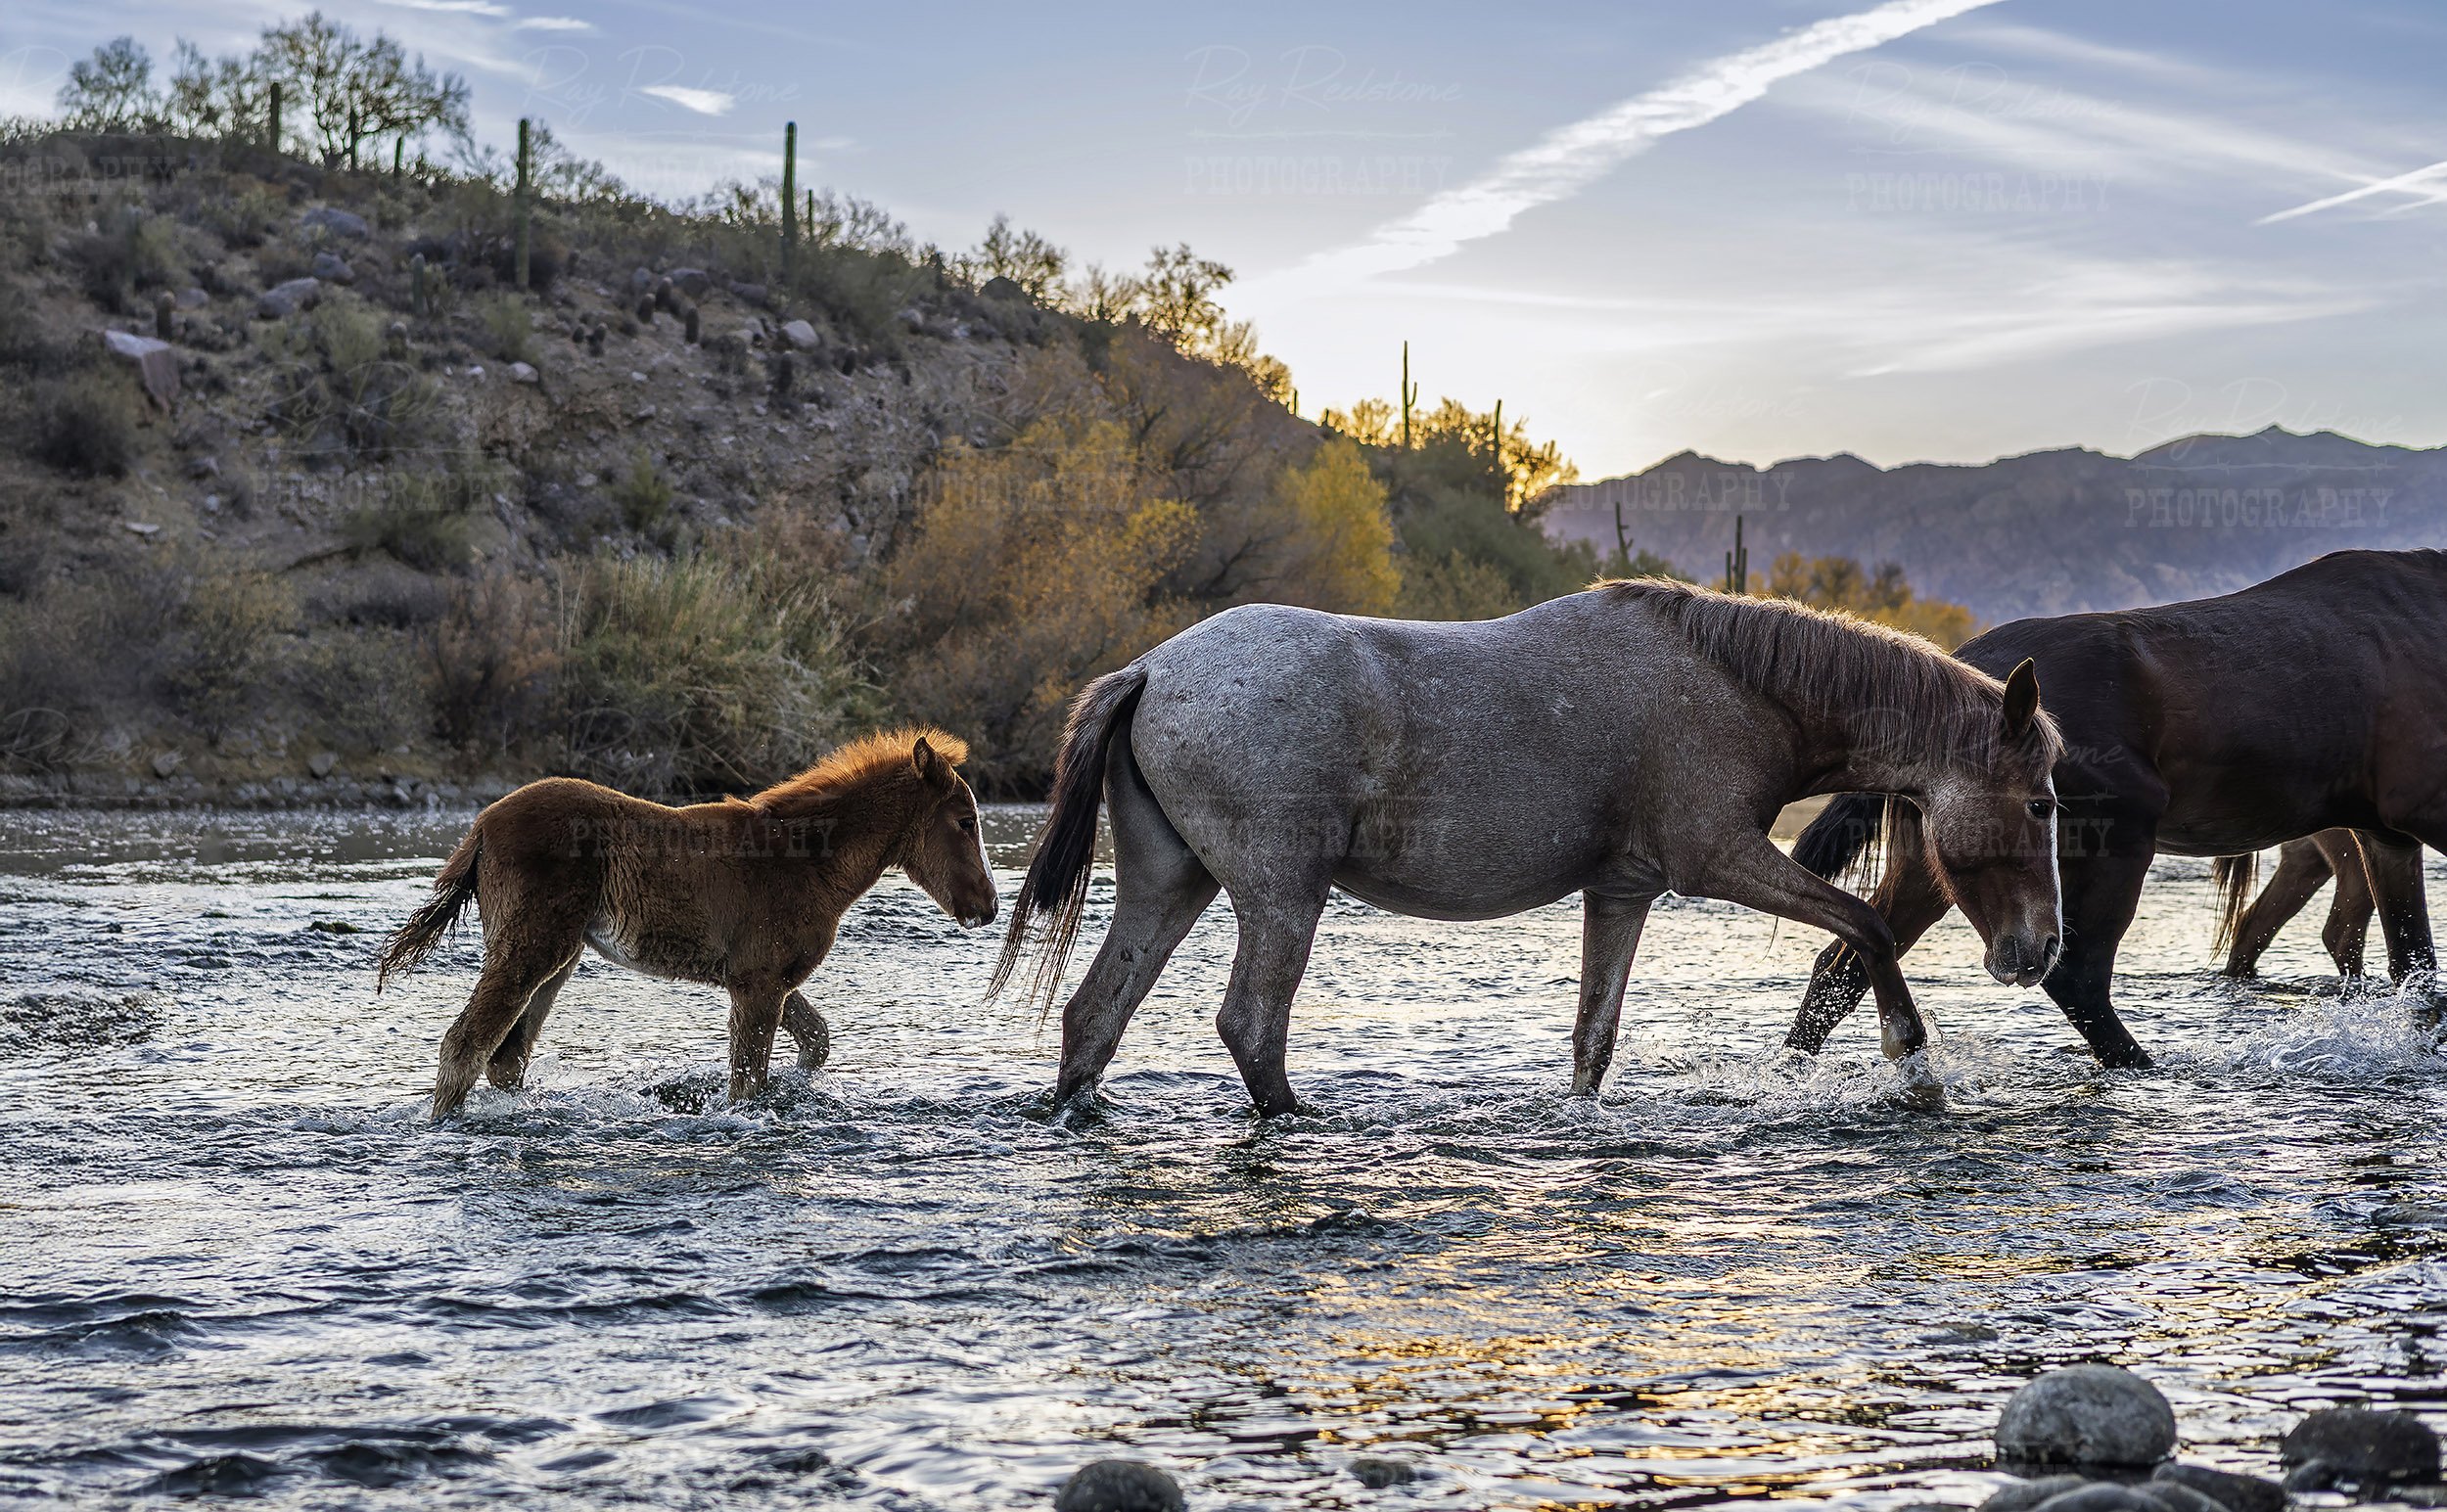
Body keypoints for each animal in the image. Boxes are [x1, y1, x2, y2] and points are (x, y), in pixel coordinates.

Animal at [378, 730, 998, 1119]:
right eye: (965, 822)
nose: (988, 906)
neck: (806, 859)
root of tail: (481, 825)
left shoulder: (762, 976)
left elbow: (816, 1040)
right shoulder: (757, 981)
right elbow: (746, 1084)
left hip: (558, 955)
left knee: (505, 1057)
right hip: (532, 946)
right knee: (465, 1045)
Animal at [992, 579, 2065, 1118]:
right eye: (2044, 801)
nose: (2041, 948)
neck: (1734, 683)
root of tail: (1150, 668)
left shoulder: (1624, 890)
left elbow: (1594, 1036)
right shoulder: (1716, 857)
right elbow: (1865, 932)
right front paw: (1912, 1063)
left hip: (1169, 886)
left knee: (1095, 1015)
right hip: (1280, 895)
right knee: (1251, 1025)